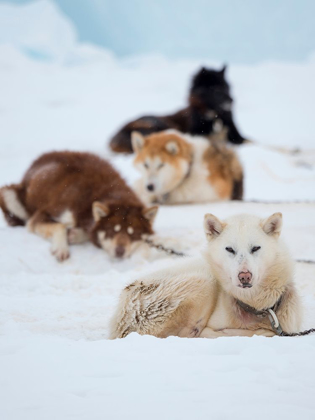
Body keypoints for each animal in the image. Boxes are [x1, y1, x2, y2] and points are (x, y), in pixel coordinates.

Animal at [0, 151, 158, 262]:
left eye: (133, 233)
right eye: (112, 231)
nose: (120, 251)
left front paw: (75, 234)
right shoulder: (46, 213)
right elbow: (60, 226)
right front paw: (61, 248)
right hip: (9, 194)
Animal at [109, 64, 247, 153]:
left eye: (227, 88)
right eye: (215, 89)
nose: (232, 101)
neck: (214, 118)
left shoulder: (237, 136)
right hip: (163, 125)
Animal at [111, 212, 304, 340]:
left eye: (256, 248)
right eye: (230, 249)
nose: (244, 276)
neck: (258, 306)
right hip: (204, 282)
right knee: (187, 335)